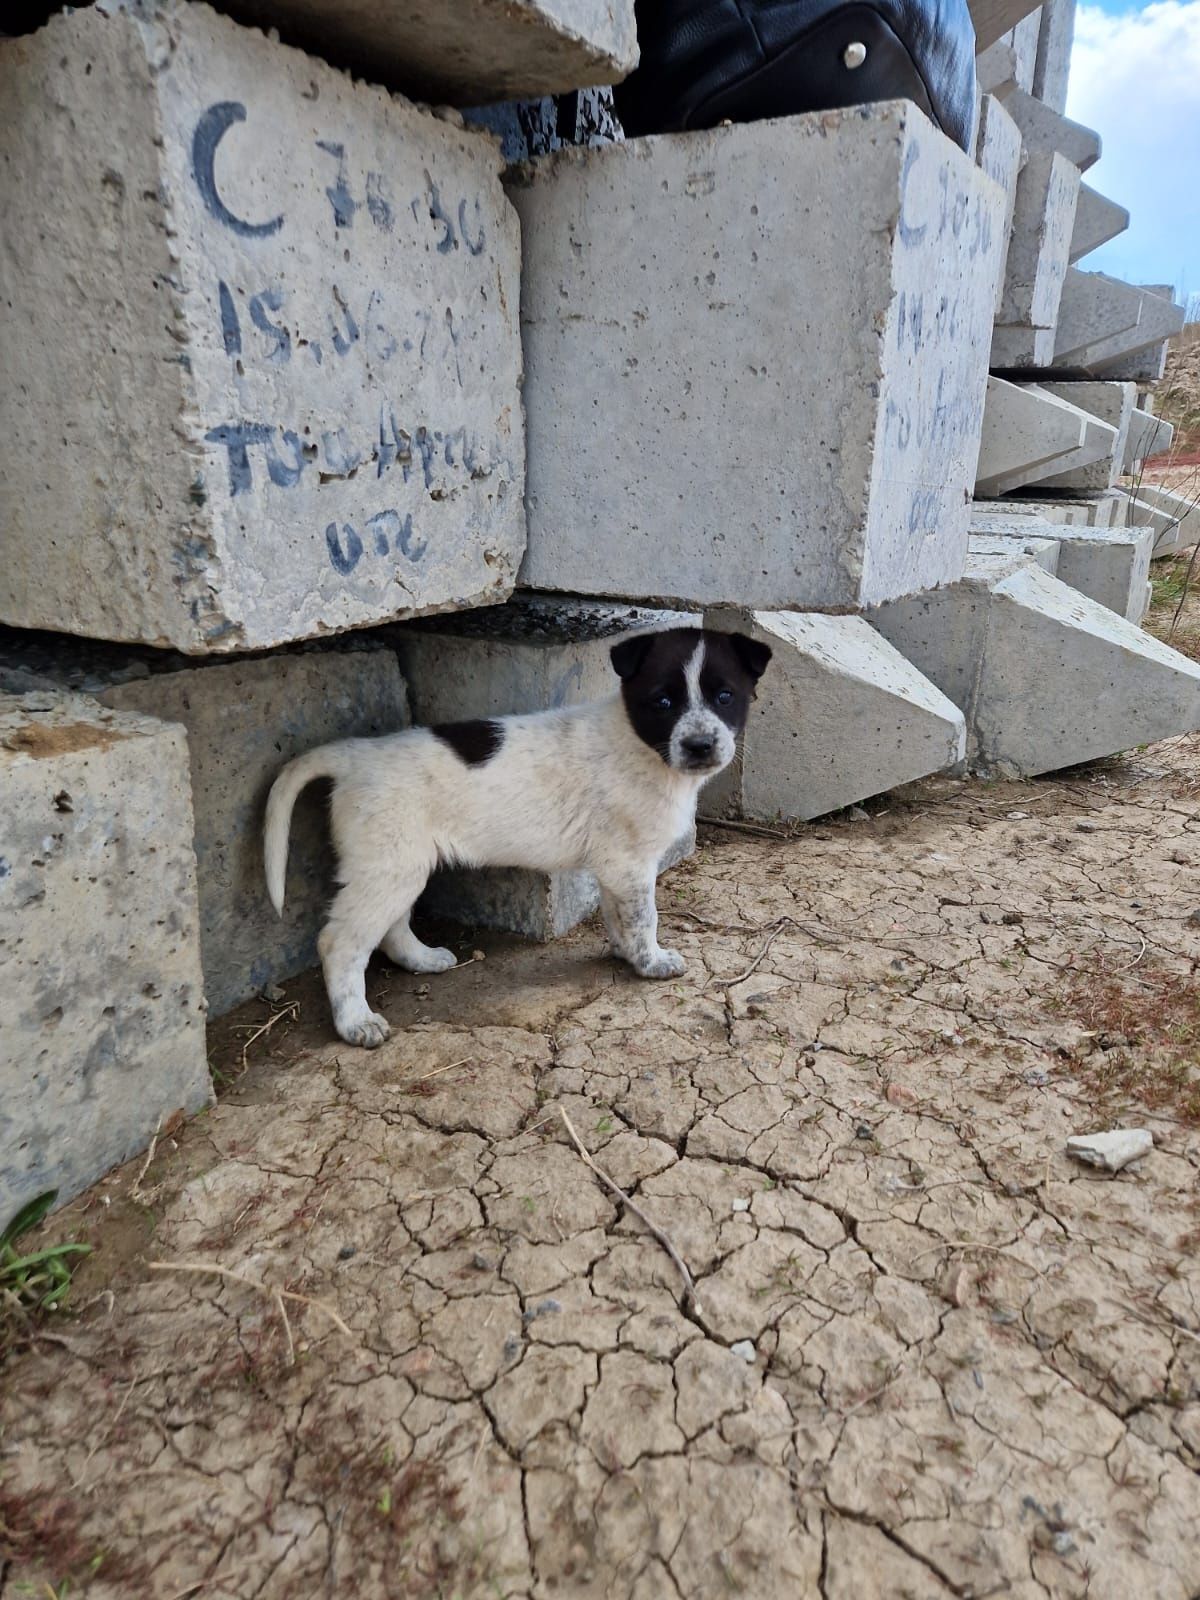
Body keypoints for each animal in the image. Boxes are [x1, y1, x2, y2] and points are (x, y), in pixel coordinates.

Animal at [262, 624, 771, 1049]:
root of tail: (351, 758)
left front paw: (627, 955)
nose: (700, 746)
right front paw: (651, 963)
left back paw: (423, 959)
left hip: (402, 866)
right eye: (662, 702)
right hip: (387, 866)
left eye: (725, 696)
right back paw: (355, 1023)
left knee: (391, 927)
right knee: (340, 943)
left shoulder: (614, 866)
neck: (642, 746)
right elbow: (644, 918)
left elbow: (618, 917)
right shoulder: (630, 864)